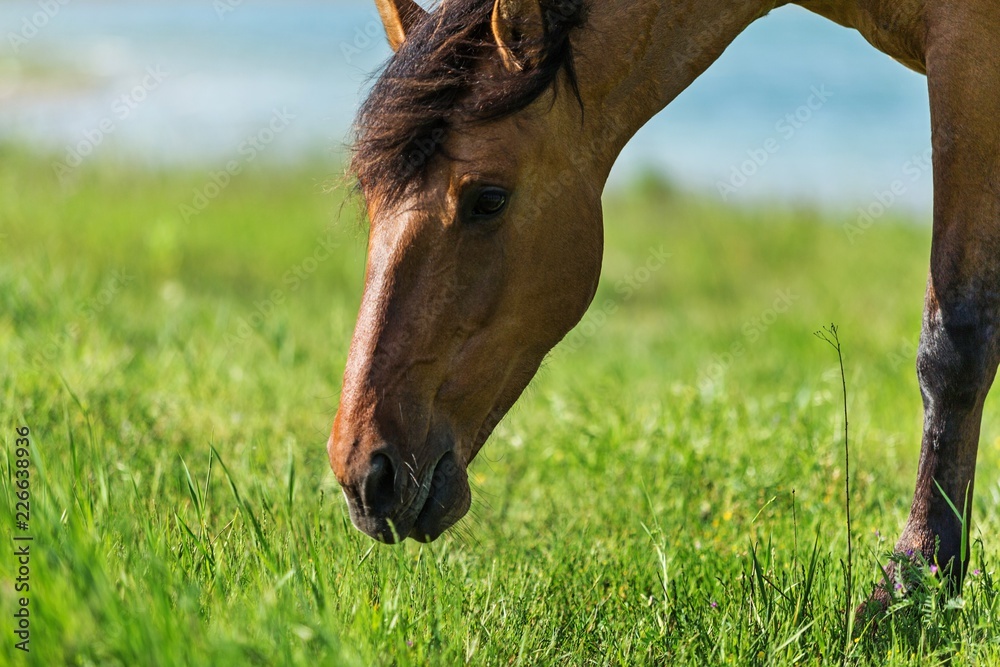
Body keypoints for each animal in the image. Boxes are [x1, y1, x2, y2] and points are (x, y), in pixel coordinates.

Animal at [330, 0, 1000, 604]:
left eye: (488, 199)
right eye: (367, 191)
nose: (364, 472)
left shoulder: (968, 57)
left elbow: (955, 345)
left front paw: (912, 586)